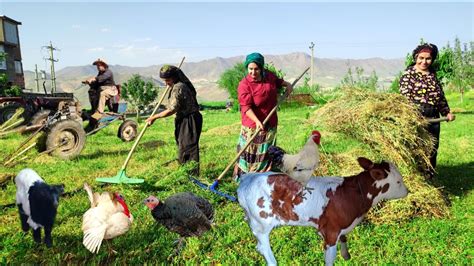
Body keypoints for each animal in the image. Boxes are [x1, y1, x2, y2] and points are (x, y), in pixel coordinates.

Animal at [239, 157, 410, 264]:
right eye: (398, 181)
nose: (407, 191)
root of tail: (247, 178)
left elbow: (344, 240)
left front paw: (346, 256)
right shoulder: (331, 232)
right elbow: (329, 259)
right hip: (261, 226)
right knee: (266, 252)